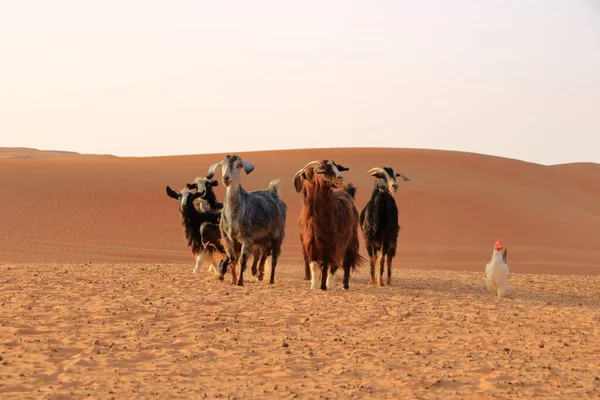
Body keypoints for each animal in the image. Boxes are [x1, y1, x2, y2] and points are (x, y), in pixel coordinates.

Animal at [205, 155, 288, 286]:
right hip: (263, 240)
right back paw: (258, 274)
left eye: (238, 165)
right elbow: (233, 259)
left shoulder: (247, 239)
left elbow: (243, 260)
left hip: (277, 237)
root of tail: (273, 193)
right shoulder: (228, 238)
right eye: (222, 165)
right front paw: (233, 281)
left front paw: (240, 281)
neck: (234, 215)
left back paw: (271, 280)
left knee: (274, 259)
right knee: (263, 256)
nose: (226, 178)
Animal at [292, 159, 364, 290]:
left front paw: (323, 287)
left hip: (350, 240)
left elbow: (326, 265)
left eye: (336, 167)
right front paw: (314, 287)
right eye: (307, 175)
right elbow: (314, 266)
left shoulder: (330, 243)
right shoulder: (310, 242)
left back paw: (343, 285)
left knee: (344, 262)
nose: (340, 177)